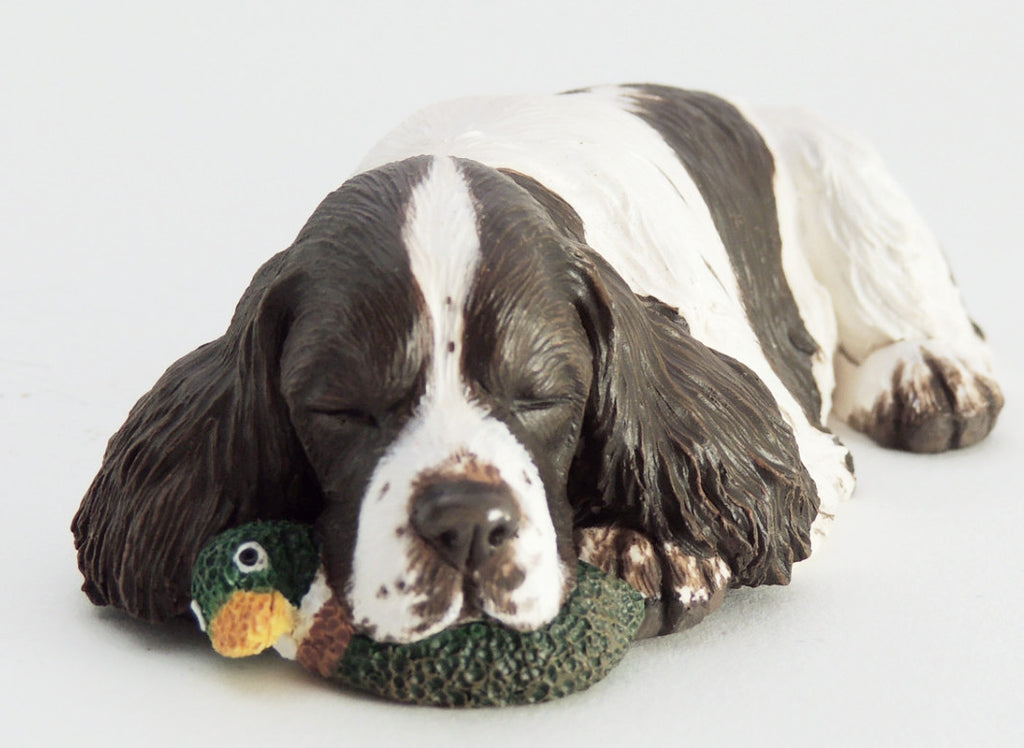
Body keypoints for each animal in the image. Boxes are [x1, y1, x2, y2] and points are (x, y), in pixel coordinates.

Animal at [72, 84, 999, 639]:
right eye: (340, 410)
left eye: (542, 396)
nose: (463, 524)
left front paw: (649, 546)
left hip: (840, 171)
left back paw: (930, 374)